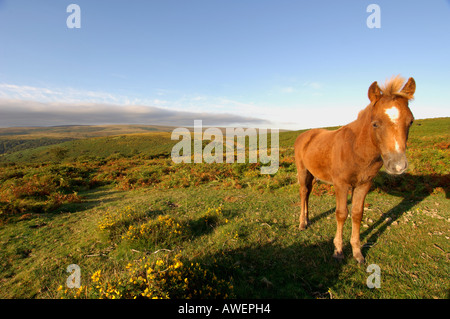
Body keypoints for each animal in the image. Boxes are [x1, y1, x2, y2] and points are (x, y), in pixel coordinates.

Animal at [296, 76, 414, 264]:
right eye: (375, 124)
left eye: (410, 121)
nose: (397, 165)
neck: (356, 149)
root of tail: (304, 135)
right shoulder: (341, 185)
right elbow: (341, 213)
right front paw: (338, 250)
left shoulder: (364, 185)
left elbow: (357, 214)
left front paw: (357, 252)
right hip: (303, 171)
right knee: (303, 192)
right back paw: (302, 223)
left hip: (313, 174)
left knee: (308, 193)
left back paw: (307, 219)